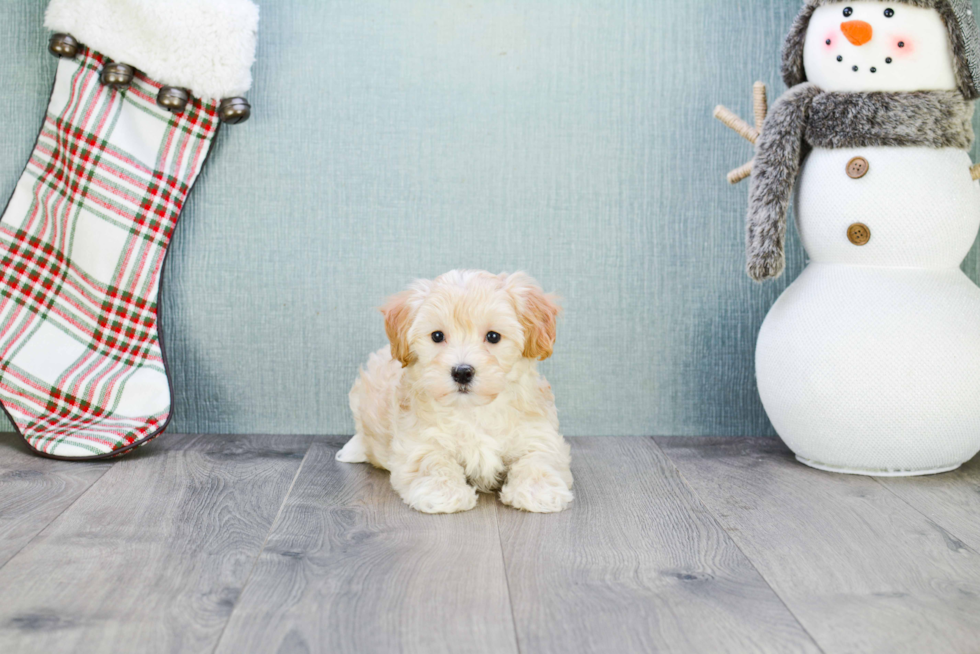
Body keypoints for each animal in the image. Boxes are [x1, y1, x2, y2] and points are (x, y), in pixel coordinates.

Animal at [336, 272, 576, 516]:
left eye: (493, 336)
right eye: (437, 336)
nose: (462, 372)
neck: (474, 410)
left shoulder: (537, 431)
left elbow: (539, 457)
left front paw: (539, 490)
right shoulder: (420, 439)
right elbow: (431, 461)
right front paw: (443, 492)